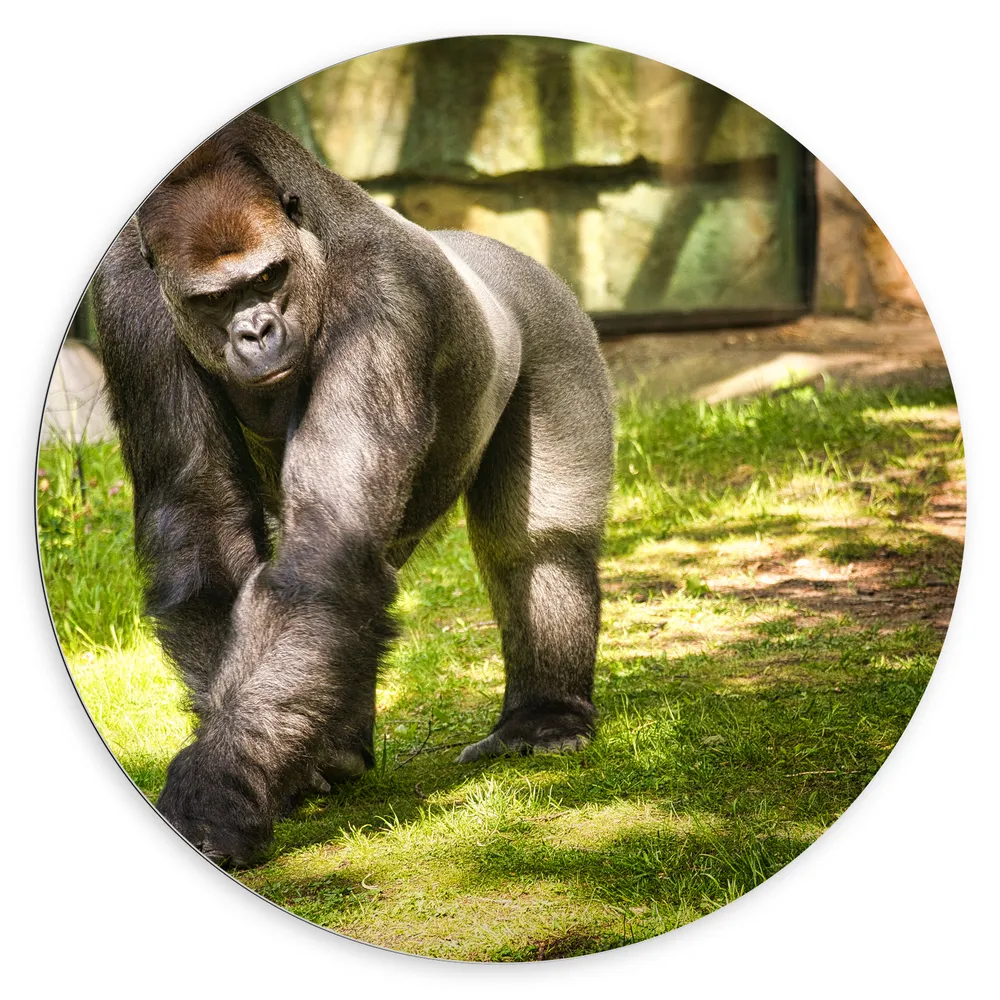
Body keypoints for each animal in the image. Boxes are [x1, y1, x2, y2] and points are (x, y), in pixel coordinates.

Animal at [92, 111, 614, 868]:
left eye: (269, 277)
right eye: (215, 300)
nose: (257, 331)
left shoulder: (382, 296)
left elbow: (327, 549)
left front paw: (223, 786)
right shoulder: (127, 303)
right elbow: (201, 526)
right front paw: (269, 767)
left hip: (555, 324)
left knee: (535, 547)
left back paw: (543, 717)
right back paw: (339, 744)